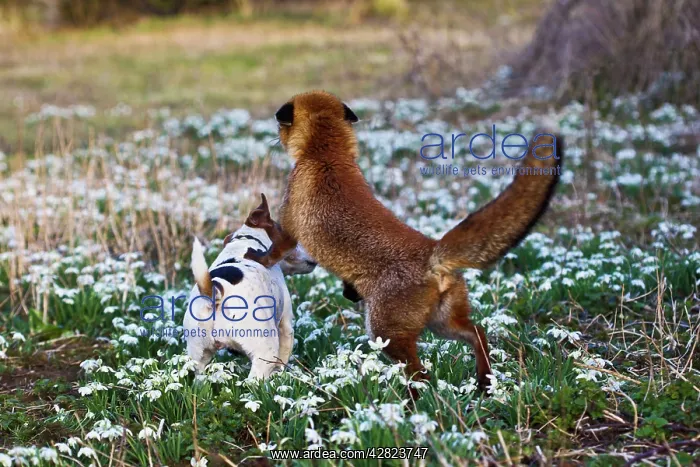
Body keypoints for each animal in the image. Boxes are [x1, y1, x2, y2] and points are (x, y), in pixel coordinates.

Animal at [249, 90, 563, 392]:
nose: (274, 137)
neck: (326, 156)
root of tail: (433, 254)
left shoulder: (290, 226)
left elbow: (274, 248)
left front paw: (256, 255)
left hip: (385, 333)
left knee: (422, 374)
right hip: (442, 325)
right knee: (478, 333)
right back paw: (484, 382)